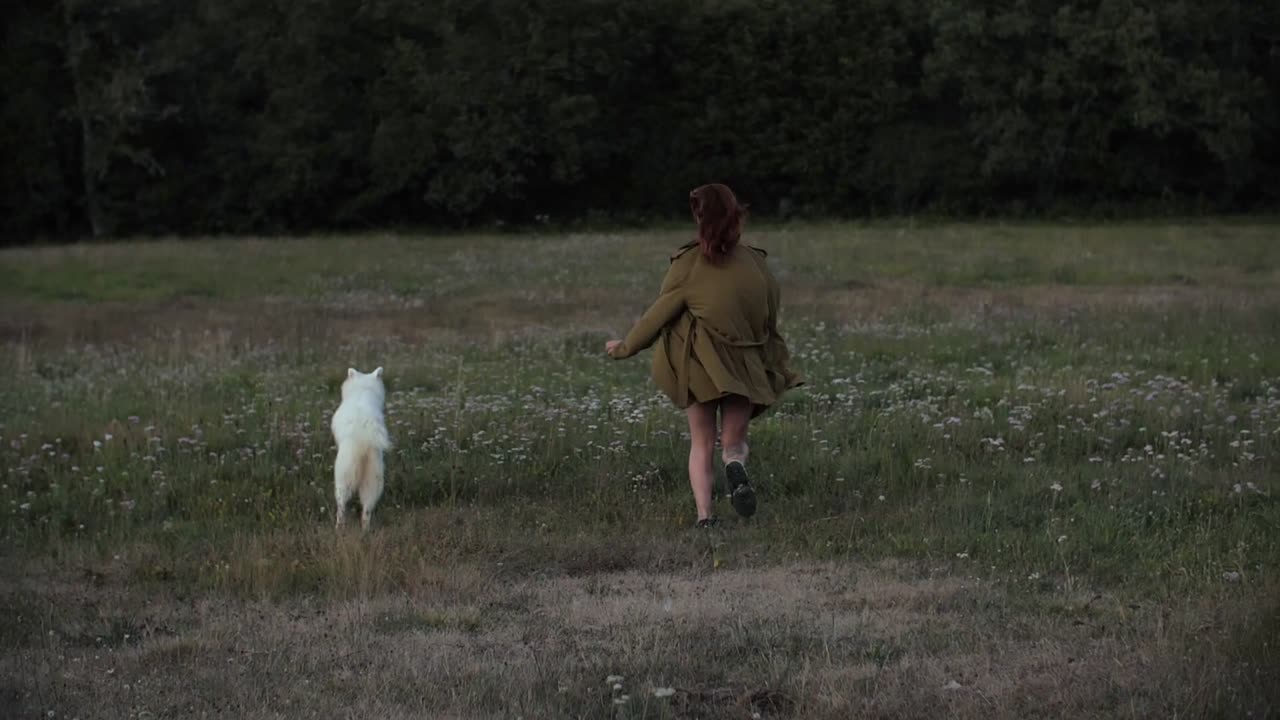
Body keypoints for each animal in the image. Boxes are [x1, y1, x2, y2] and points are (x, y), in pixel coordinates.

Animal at [330, 363, 389, 527]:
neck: (363, 391)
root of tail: (363, 438)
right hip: (374, 475)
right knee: (367, 508)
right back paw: (365, 529)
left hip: (343, 475)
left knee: (341, 505)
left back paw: (339, 527)